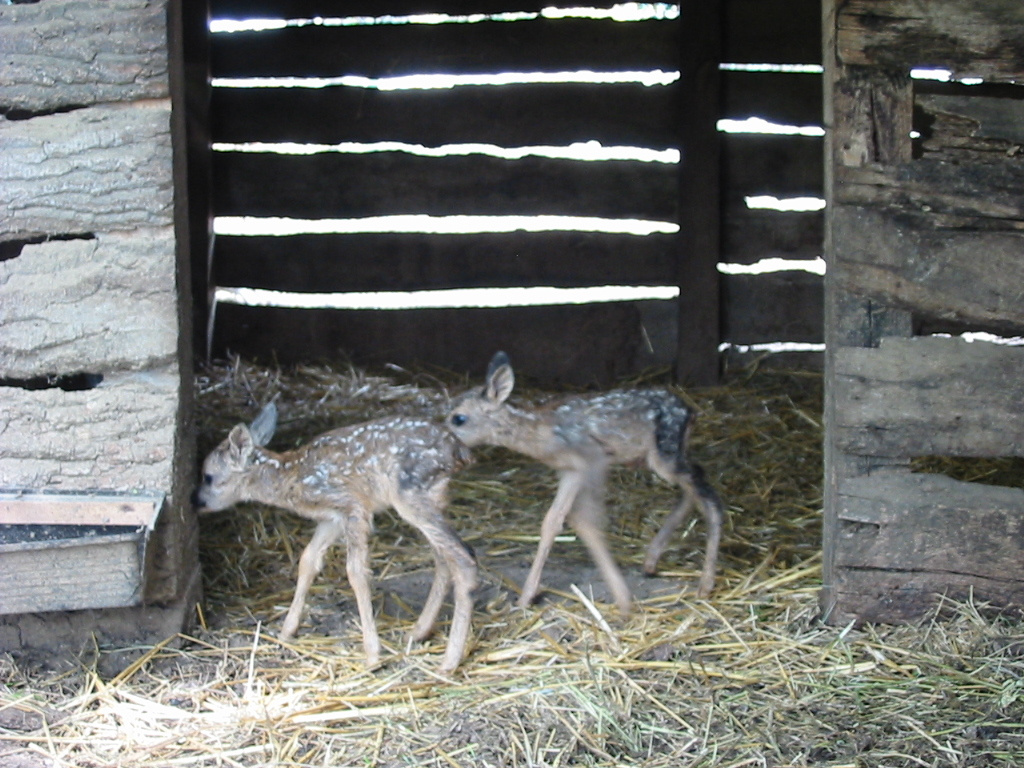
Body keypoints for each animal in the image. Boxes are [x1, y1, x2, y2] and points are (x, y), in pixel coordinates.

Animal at [193, 403, 477, 671]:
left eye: (208, 477)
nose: (195, 502)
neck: (292, 477)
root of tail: (459, 450)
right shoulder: (331, 519)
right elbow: (307, 560)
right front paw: (286, 632)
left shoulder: (352, 506)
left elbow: (356, 572)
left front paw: (372, 656)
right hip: (432, 497)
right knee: (445, 557)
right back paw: (419, 632)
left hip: (410, 492)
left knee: (464, 557)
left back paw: (448, 663)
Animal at [444, 352, 724, 618]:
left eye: (458, 419)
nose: (443, 441)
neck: (540, 432)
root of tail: (691, 412)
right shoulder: (569, 471)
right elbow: (554, 521)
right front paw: (526, 597)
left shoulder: (592, 459)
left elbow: (585, 520)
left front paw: (623, 601)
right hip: (658, 456)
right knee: (695, 484)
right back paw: (651, 561)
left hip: (664, 452)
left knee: (708, 497)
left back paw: (705, 585)